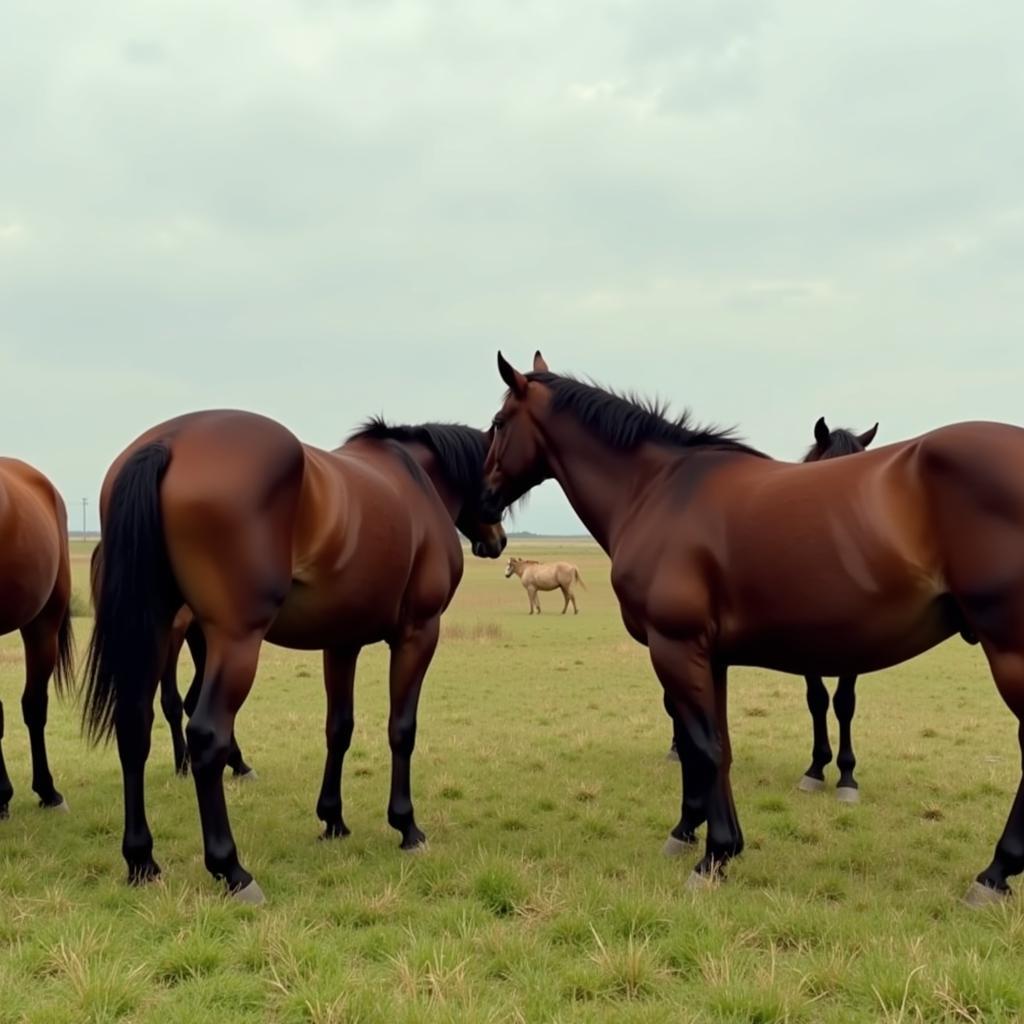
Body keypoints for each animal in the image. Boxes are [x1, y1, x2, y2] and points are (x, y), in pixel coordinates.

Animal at [81, 409, 505, 905]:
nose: (499, 540)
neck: (415, 480)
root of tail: (169, 442)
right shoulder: (418, 634)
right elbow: (402, 730)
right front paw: (406, 826)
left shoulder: (341, 642)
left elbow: (339, 728)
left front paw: (333, 819)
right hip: (233, 641)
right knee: (205, 734)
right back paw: (231, 868)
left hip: (154, 630)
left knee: (135, 727)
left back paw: (141, 860)